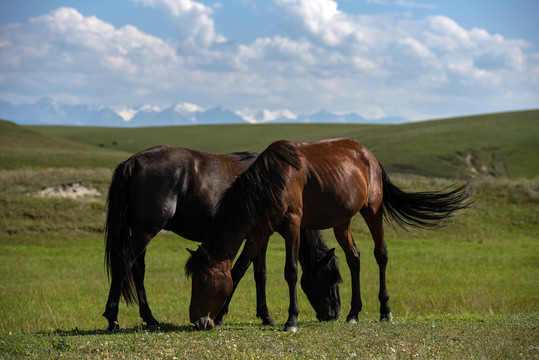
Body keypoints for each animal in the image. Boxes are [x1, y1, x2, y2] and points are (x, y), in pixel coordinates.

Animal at [102, 146, 342, 332]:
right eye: (332, 278)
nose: (335, 314)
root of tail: (132, 162)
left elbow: (256, 273)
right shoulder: (260, 235)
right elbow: (257, 273)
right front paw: (265, 316)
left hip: (141, 231)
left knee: (137, 269)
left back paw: (149, 317)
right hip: (146, 230)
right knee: (124, 260)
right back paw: (112, 317)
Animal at [186, 138, 472, 332]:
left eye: (201, 281)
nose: (198, 321)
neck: (272, 180)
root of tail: (369, 156)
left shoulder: (292, 224)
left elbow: (291, 271)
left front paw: (291, 320)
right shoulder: (260, 231)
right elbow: (239, 270)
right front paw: (220, 317)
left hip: (372, 211)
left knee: (381, 255)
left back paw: (384, 310)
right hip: (342, 222)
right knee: (354, 257)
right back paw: (353, 313)